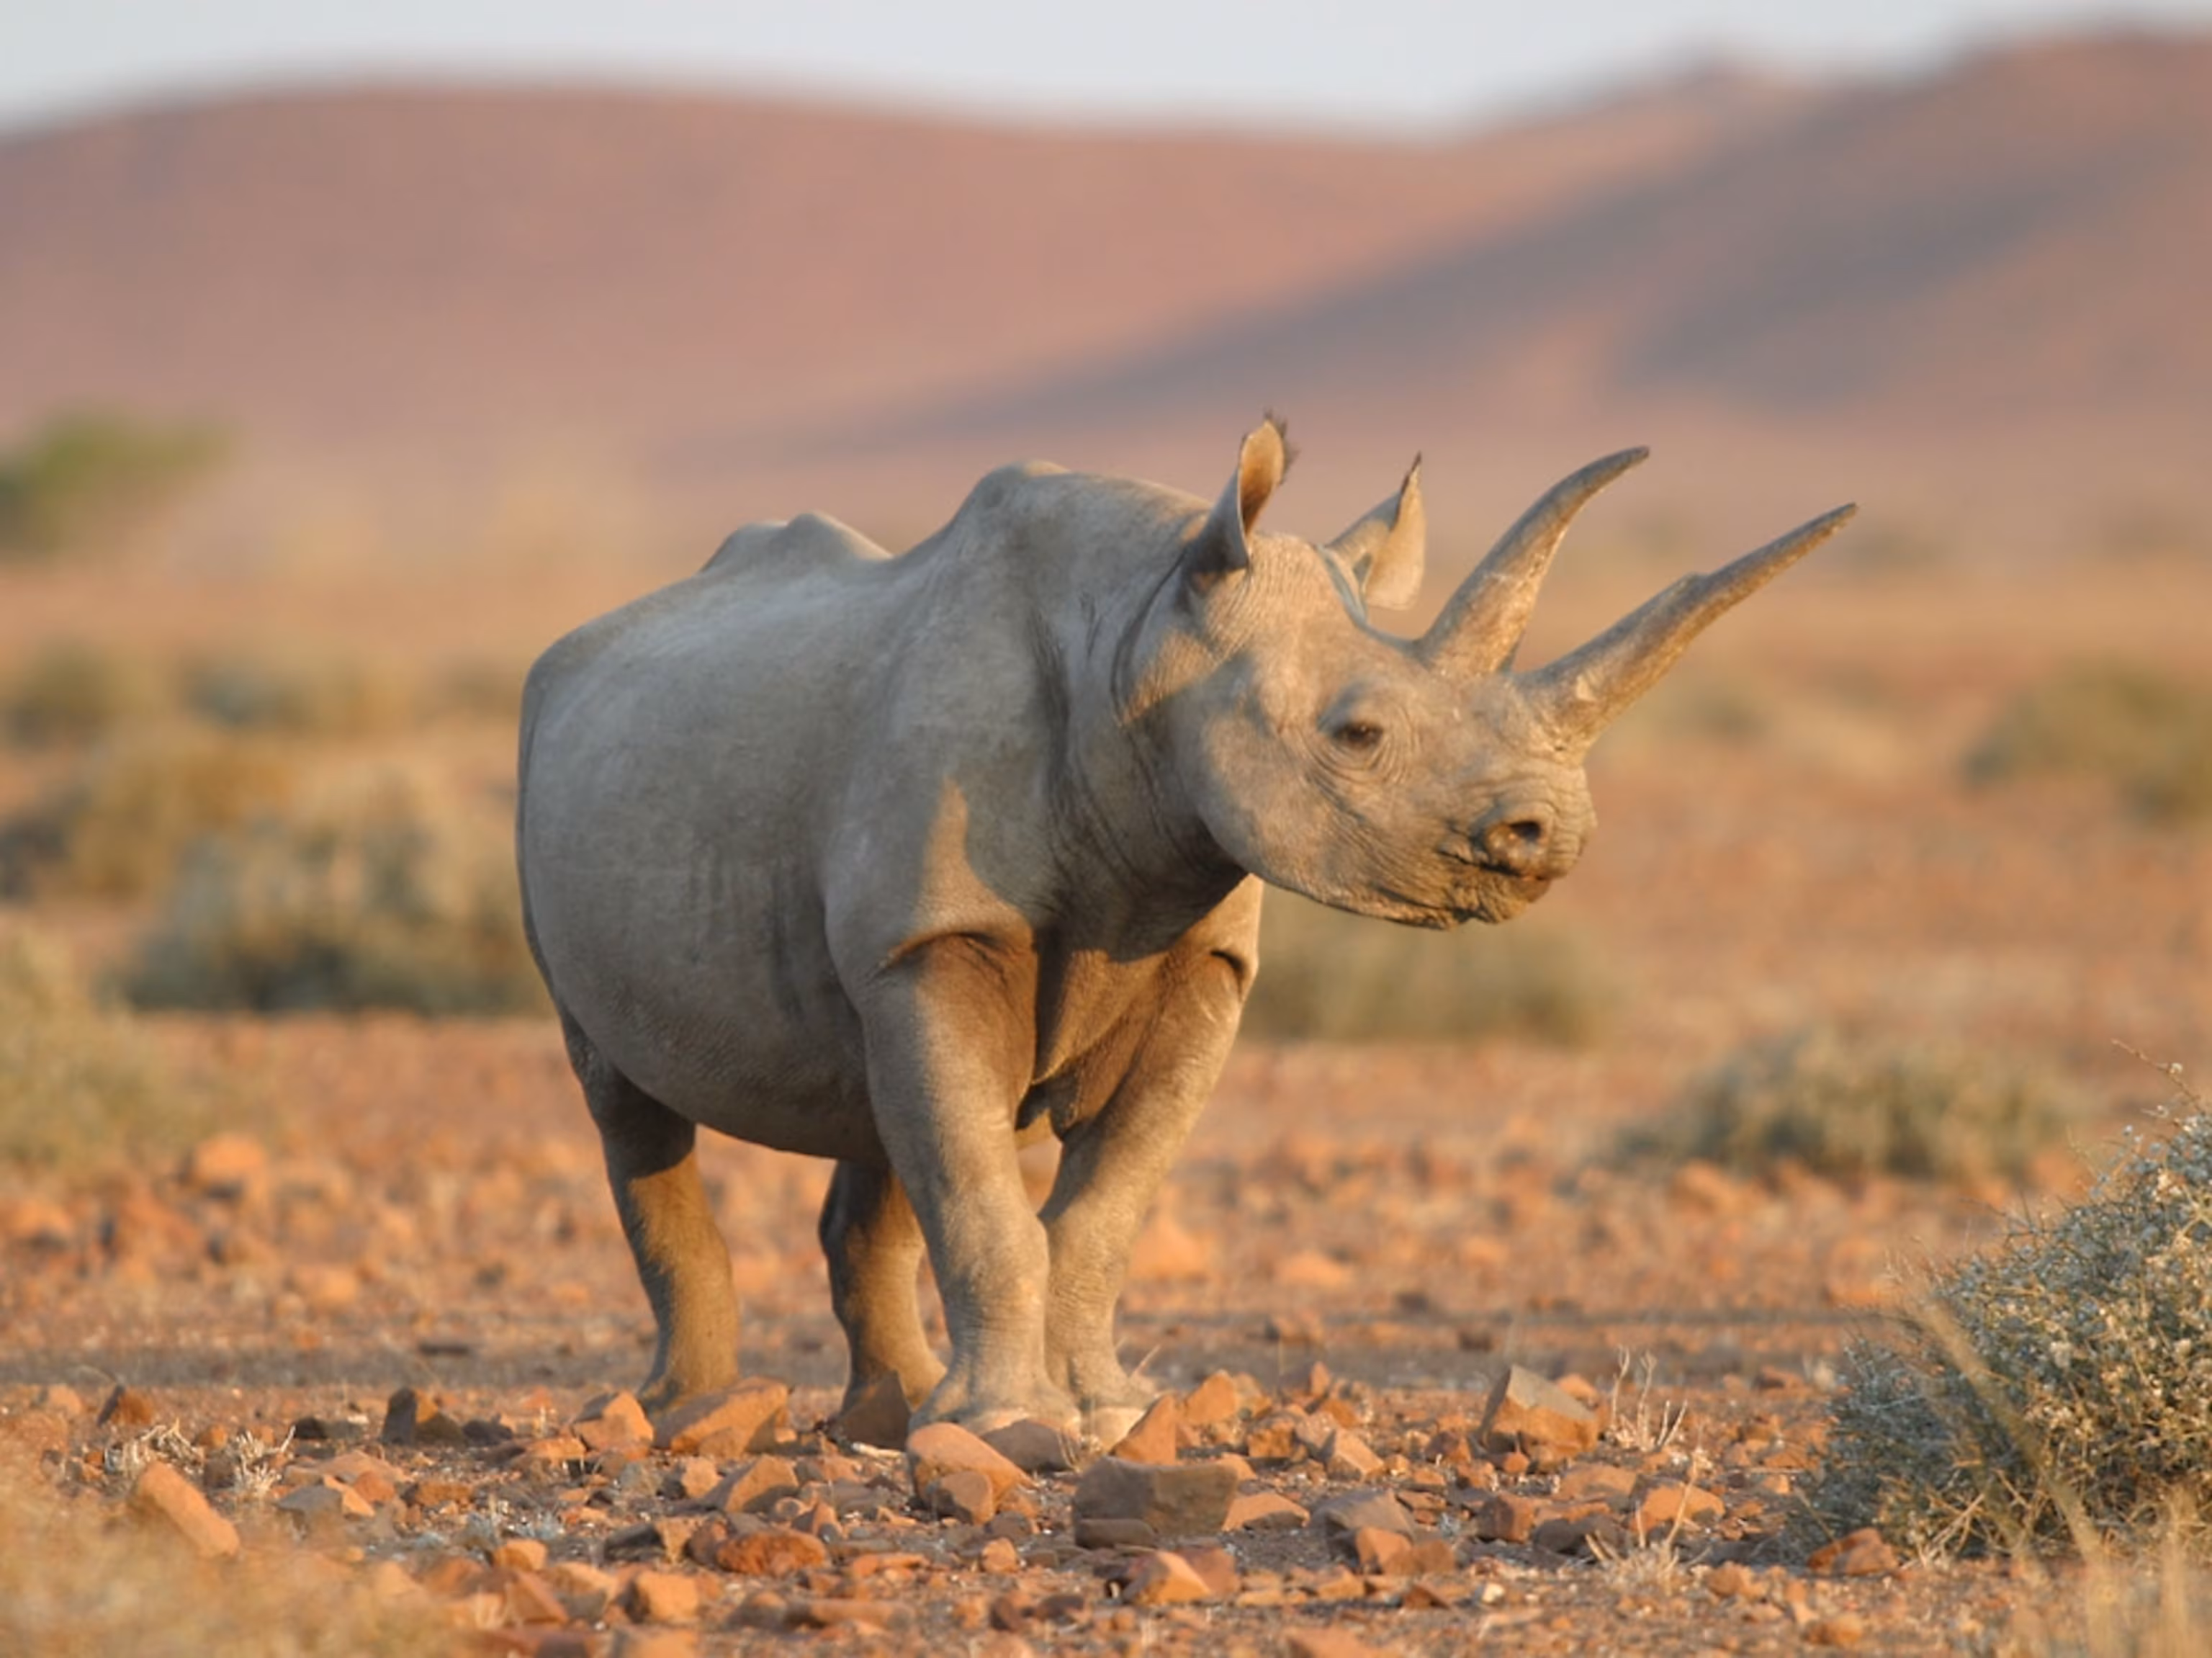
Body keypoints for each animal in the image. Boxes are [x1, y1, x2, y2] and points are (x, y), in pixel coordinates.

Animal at [516, 419, 1851, 1437]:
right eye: (1357, 733)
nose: (1549, 833)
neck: (1141, 630)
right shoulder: (944, 931)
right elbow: (987, 1196)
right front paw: (1012, 1425)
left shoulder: (1198, 952)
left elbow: (1101, 1205)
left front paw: (1104, 1412)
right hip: (559, 765)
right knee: (627, 1101)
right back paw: (690, 1414)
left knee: (875, 1108)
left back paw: (886, 1414)